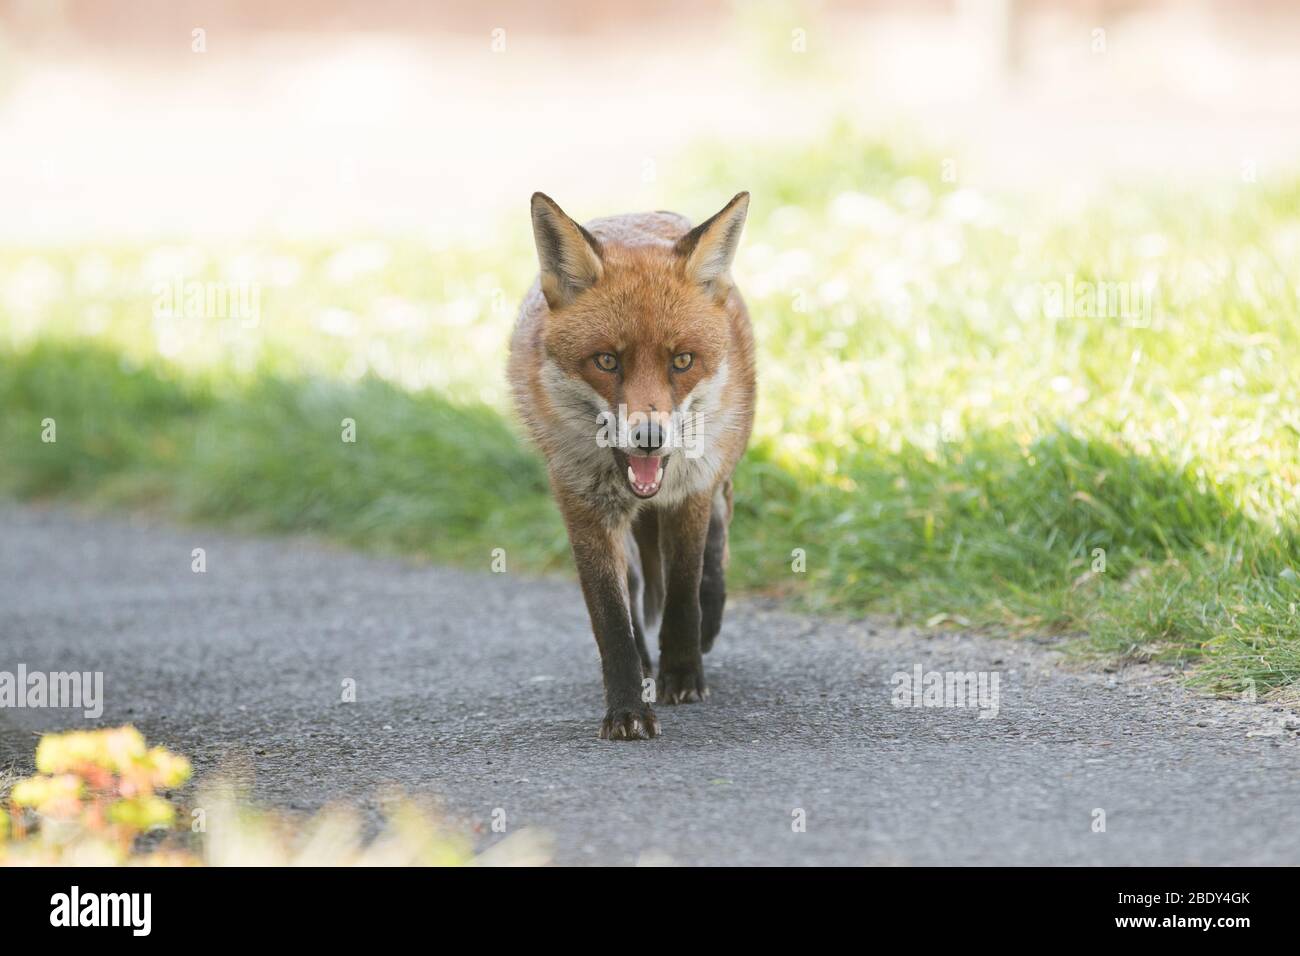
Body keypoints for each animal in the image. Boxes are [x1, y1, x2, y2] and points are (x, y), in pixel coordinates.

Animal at [504, 188, 759, 738]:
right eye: (607, 361)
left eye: (682, 361)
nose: (649, 439)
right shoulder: (582, 505)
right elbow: (610, 617)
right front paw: (627, 707)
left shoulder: (688, 493)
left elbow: (683, 591)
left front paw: (682, 673)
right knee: (639, 582)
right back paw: (646, 663)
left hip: (720, 463)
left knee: (717, 536)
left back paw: (708, 623)